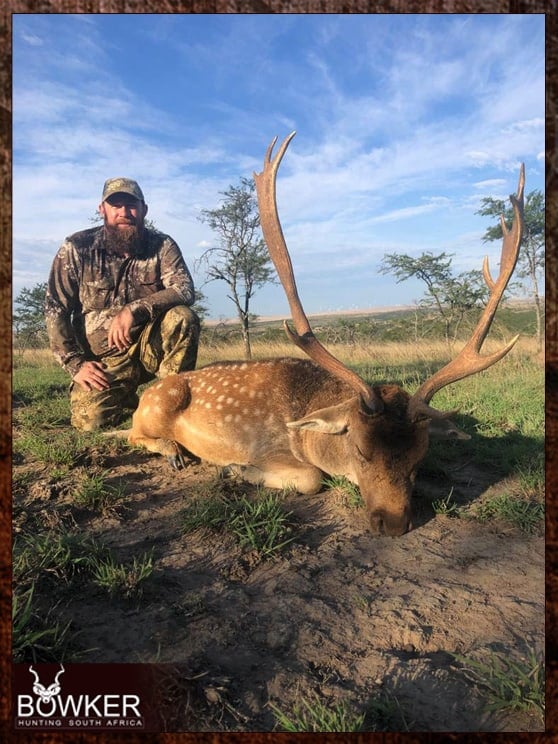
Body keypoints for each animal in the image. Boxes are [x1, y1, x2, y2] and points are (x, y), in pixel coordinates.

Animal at [127, 134, 524, 536]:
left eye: (419, 456)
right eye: (361, 450)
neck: (307, 422)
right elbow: (311, 477)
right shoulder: (271, 449)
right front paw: (233, 469)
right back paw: (175, 451)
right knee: (132, 434)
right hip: (157, 406)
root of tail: (146, 396)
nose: (393, 523)